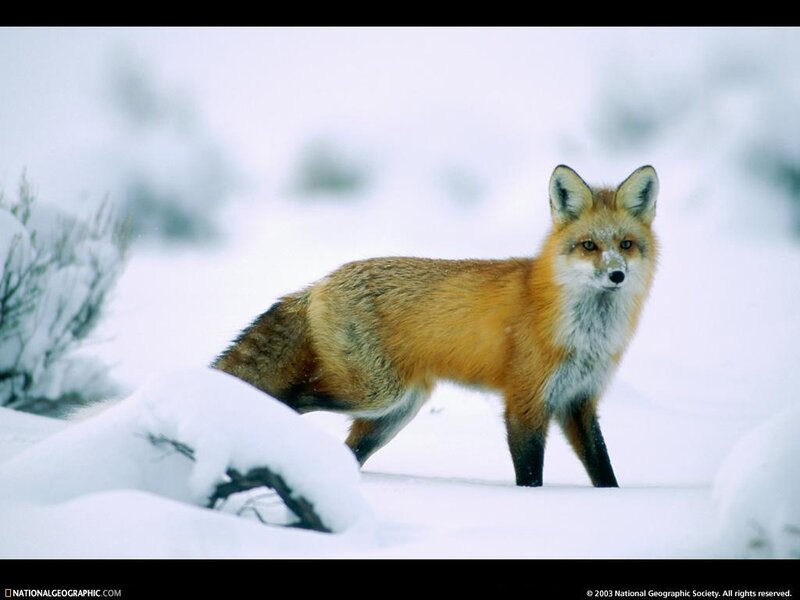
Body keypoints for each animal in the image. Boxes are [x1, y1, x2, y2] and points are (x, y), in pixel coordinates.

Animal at [212, 164, 659, 487]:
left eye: (626, 245)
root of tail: (319, 282)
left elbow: (605, 474)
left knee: (346, 448)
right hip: (374, 393)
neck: (586, 336)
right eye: (589, 246)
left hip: (395, 410)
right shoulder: (524, 402)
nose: (616, 274)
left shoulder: (579, 402)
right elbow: (530, 476)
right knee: (292, 398)